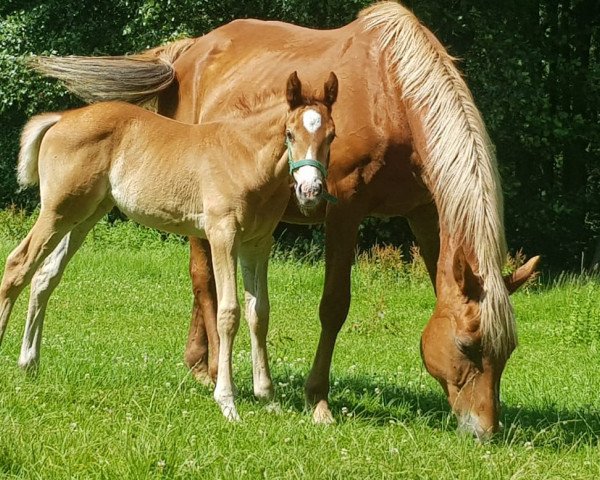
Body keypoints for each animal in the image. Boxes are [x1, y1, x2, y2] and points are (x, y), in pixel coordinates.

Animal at [0, 71, 338, 420]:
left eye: (332, 136)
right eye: (290, 133)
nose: (310, 190)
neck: (244, 156)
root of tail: (61, 119)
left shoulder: (257, 243)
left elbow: (259, 313)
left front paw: (267, 397)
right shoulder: (223, 234)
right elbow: (229, 313)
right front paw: (227, 402)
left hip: (83, 215)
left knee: (45, 276)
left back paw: (29, 363)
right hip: (57, 211)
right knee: (18, 265)